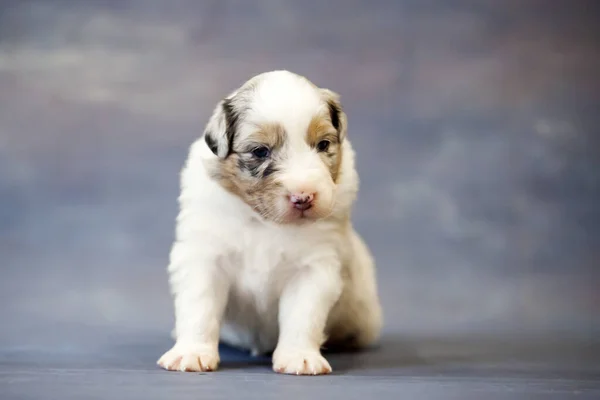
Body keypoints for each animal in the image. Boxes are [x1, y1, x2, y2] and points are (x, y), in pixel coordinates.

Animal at [157, 69, 382, 376]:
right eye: (260, 151)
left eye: (323, 144)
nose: (303, 197)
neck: (264, 221)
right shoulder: (204, 257)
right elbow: (199, 306)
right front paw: (192, 353)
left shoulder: (315, 266)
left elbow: (303, 314)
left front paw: (300, 357)